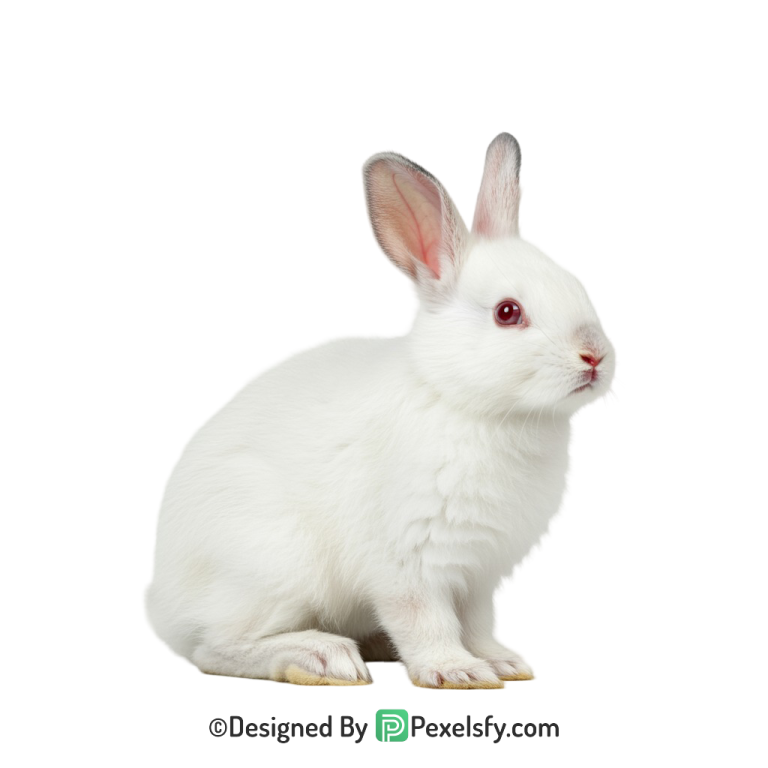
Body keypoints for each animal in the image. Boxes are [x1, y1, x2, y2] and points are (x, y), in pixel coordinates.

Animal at [140, 131, 619, 689]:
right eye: (508, 313)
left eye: (577, 286)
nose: (595, 356)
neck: (467, 402)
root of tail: (159, 602)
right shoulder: (411, 566)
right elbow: (425, 621)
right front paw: (457, 671)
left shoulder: (480, 580)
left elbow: (480, 627)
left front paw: (503, 664)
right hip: (274, 569)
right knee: (215, 648)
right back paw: (321, 658)